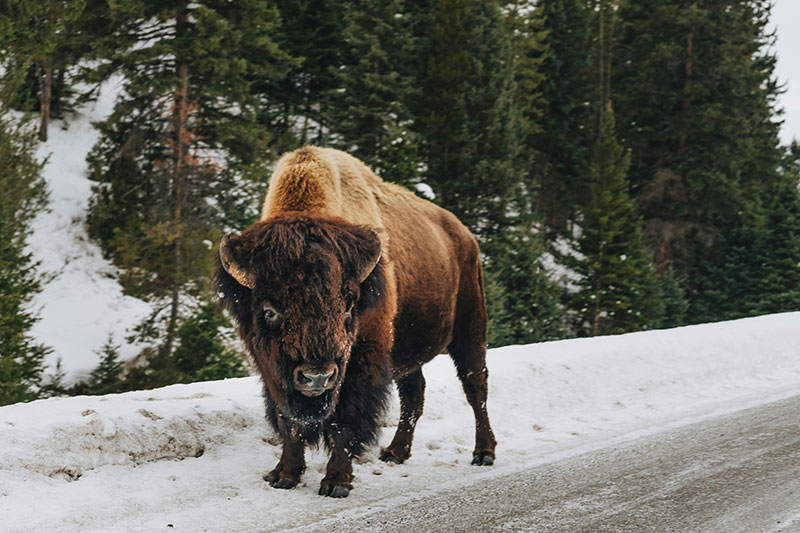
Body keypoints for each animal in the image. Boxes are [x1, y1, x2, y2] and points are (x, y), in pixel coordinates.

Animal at [215, 146, 496, 498]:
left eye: (349, 309)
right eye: (270, 311)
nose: (318, 377)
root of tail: (465, 235)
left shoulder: (359, 365)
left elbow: (344, 422)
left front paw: (336, 482)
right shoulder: (274, 373)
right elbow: (290, 422)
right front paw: (283, 475)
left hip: (470, 330)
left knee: (475, 386)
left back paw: (483, 453)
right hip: (408, 350)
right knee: (414, 394)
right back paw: (395, 453)